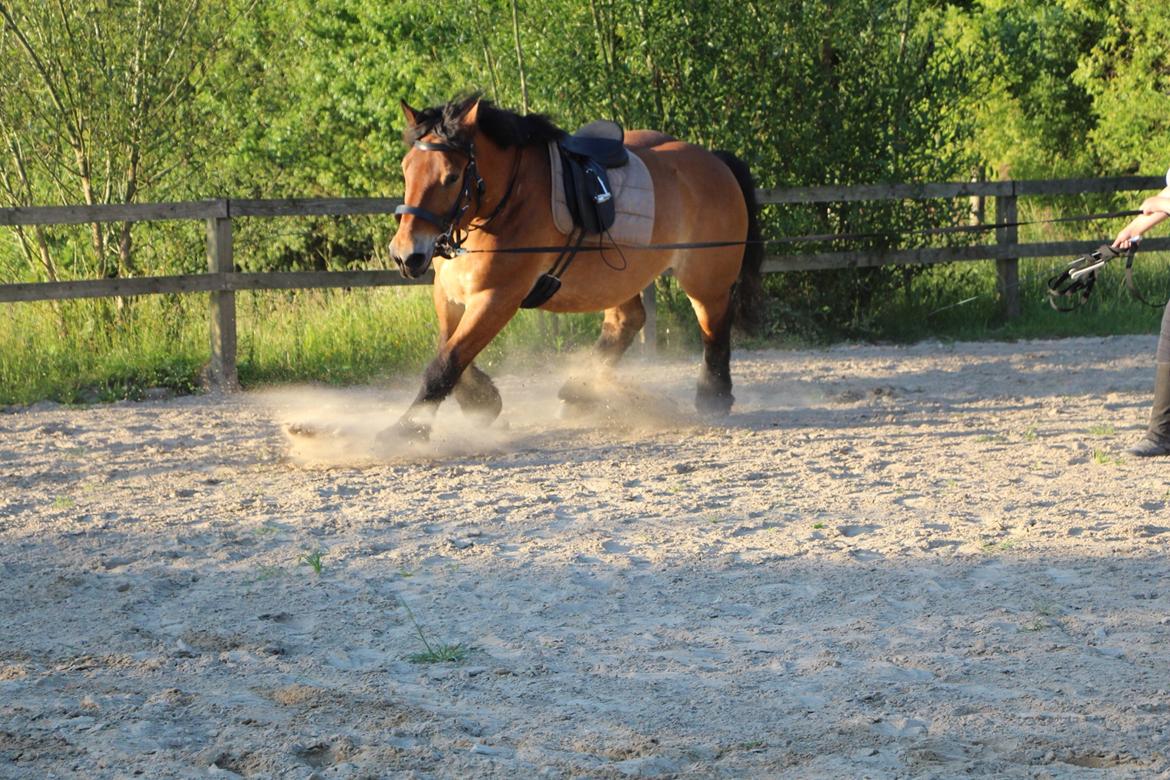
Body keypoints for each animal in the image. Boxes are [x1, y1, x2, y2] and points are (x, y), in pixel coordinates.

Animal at [388, 94, 762, 442]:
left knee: (714, 326)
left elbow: (446, 362)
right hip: (618, 278)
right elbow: (448, 348)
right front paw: (481, 400)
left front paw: (406, 430)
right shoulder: (449, 293)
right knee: (626, 322)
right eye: (407, 168)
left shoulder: (497, 299)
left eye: (451, 177)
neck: (510, 202)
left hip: (704, 279)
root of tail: (715, 160)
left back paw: (713, 396)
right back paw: (581, 391)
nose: (405, 255)